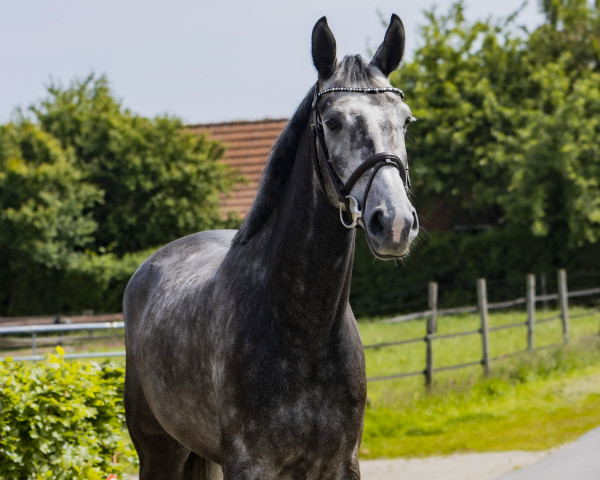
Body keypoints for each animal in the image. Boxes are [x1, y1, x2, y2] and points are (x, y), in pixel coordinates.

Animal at [123, 15, 418, 480]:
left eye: (405, 120)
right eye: (333, 122)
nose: (394, 223)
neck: (305, 332)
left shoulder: (341, 464)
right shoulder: (250, 465)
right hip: (159, 453)